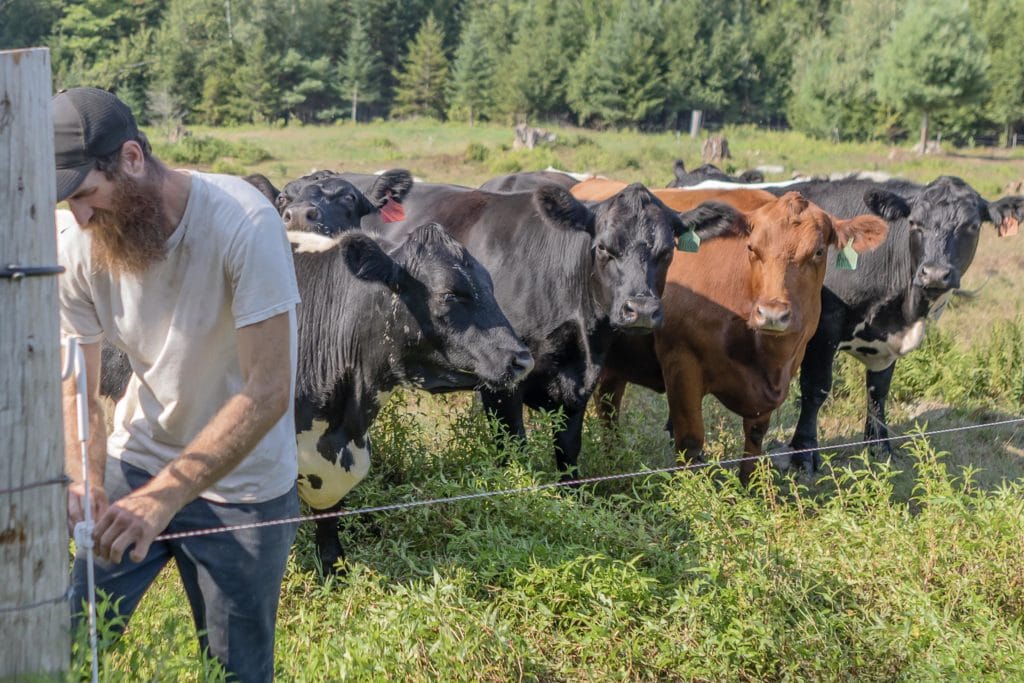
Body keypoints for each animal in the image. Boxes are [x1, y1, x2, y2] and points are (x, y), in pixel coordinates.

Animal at [344, 174, 688, 479]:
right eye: (603, 248)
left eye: (667, 251)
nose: (641, 310)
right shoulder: (502, 385)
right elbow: (514, 452)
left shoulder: (579, 386)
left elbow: (568, 454)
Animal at [598, 191, 884, 481]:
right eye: (751, 249)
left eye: (818, 251)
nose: (771, 314)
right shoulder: (680, 361)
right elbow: (690, 441)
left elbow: (755, 438)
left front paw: (749, 484)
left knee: (608, 404)